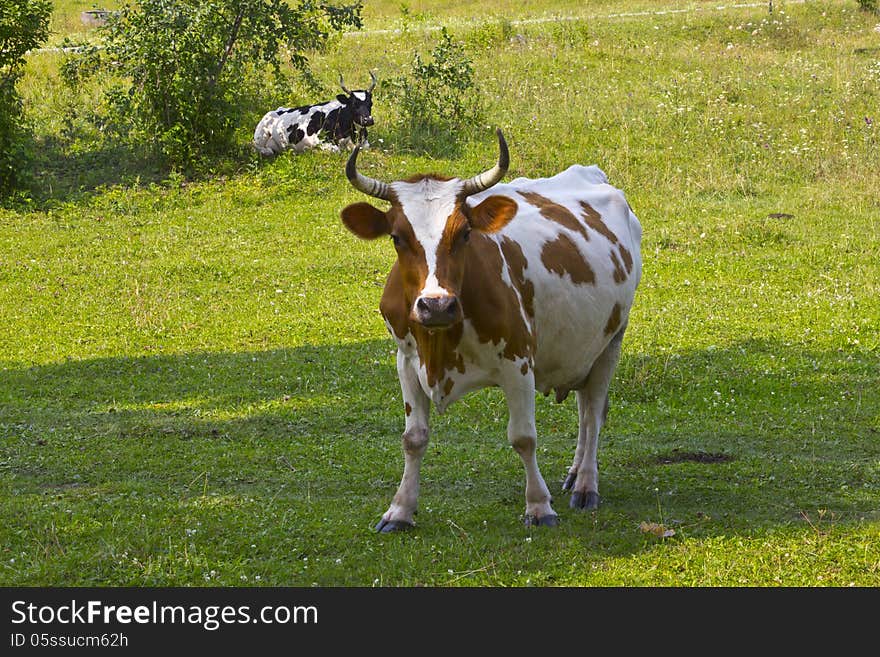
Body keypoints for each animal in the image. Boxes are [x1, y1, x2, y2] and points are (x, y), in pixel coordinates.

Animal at [340, 131, 644, 532]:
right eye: (396, 237)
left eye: (465, 233)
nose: (436, 304)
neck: (442, 342)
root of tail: (591, 172)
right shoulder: (406, 360)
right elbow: (413, 439)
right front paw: (400, 510)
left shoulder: (518, 362)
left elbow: (523, 437)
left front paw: (538, 506)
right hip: (582, 347)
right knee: (584, 409)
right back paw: (575, 472)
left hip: (611, 341)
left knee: (593, 413)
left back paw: (585, 485)